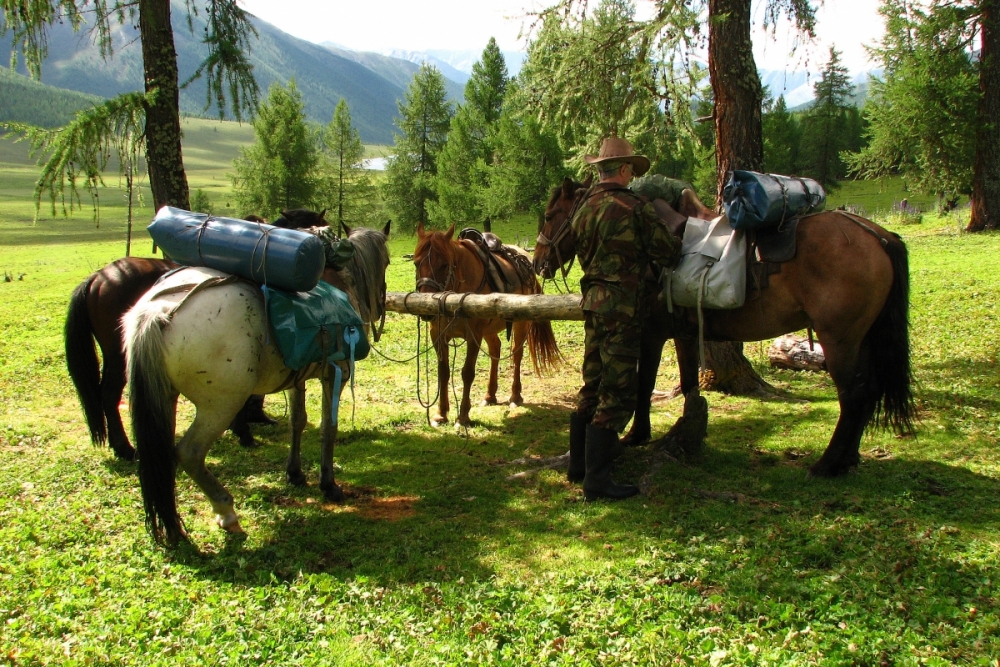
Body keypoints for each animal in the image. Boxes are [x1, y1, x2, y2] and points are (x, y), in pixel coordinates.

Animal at [124, 224, 390, 548]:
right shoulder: (336, 372)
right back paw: (226, 512)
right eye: (387, 261)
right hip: (220, 406)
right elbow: (328, 428)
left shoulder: (296, 378)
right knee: (189, 453)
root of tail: (158, 311)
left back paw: (174, 527)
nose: (380, 306)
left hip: (164, 399)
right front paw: (328, 484)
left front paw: (295, 474)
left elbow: (297, 421)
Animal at [410, 224, 560, 428]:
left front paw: (463, 417)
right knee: (495, 349)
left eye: (445, 265)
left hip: (520, 324)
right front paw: (441, 414)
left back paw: (515, 396)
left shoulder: (474, 335)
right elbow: (443, 372)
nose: (425, 310)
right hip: (489, 329)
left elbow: (467, 373)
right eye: (416, 263)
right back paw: (490, 396)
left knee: (517, 355)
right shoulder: (438, 335)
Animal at [532, 177, 916, 478]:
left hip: (839, 340)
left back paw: (828, 463)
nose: (539, 262)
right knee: (868, 390)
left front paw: (636, 435)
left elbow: (644, 385)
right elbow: (689, 385)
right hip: (861, 339)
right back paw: (848, 459)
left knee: (853, 394)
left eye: (550, 216)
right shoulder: (683, 335)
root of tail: (877, 235)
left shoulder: (652, 334)